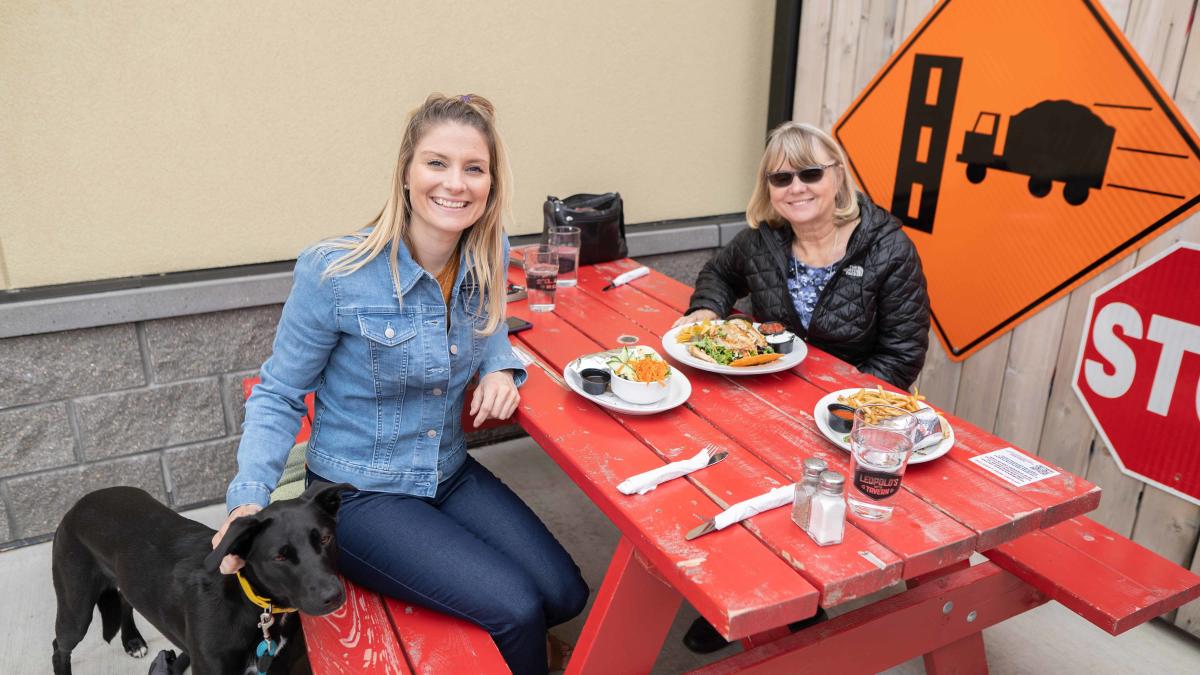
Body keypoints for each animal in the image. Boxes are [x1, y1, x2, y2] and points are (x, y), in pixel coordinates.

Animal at [53, 480, 350, 667]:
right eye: (279, 557)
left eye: (325, 539)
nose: (333, 596)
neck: (247, 603)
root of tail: (78, 505)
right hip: (75, 610)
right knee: (59, 647)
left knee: (125, 599)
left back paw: (132, 640)